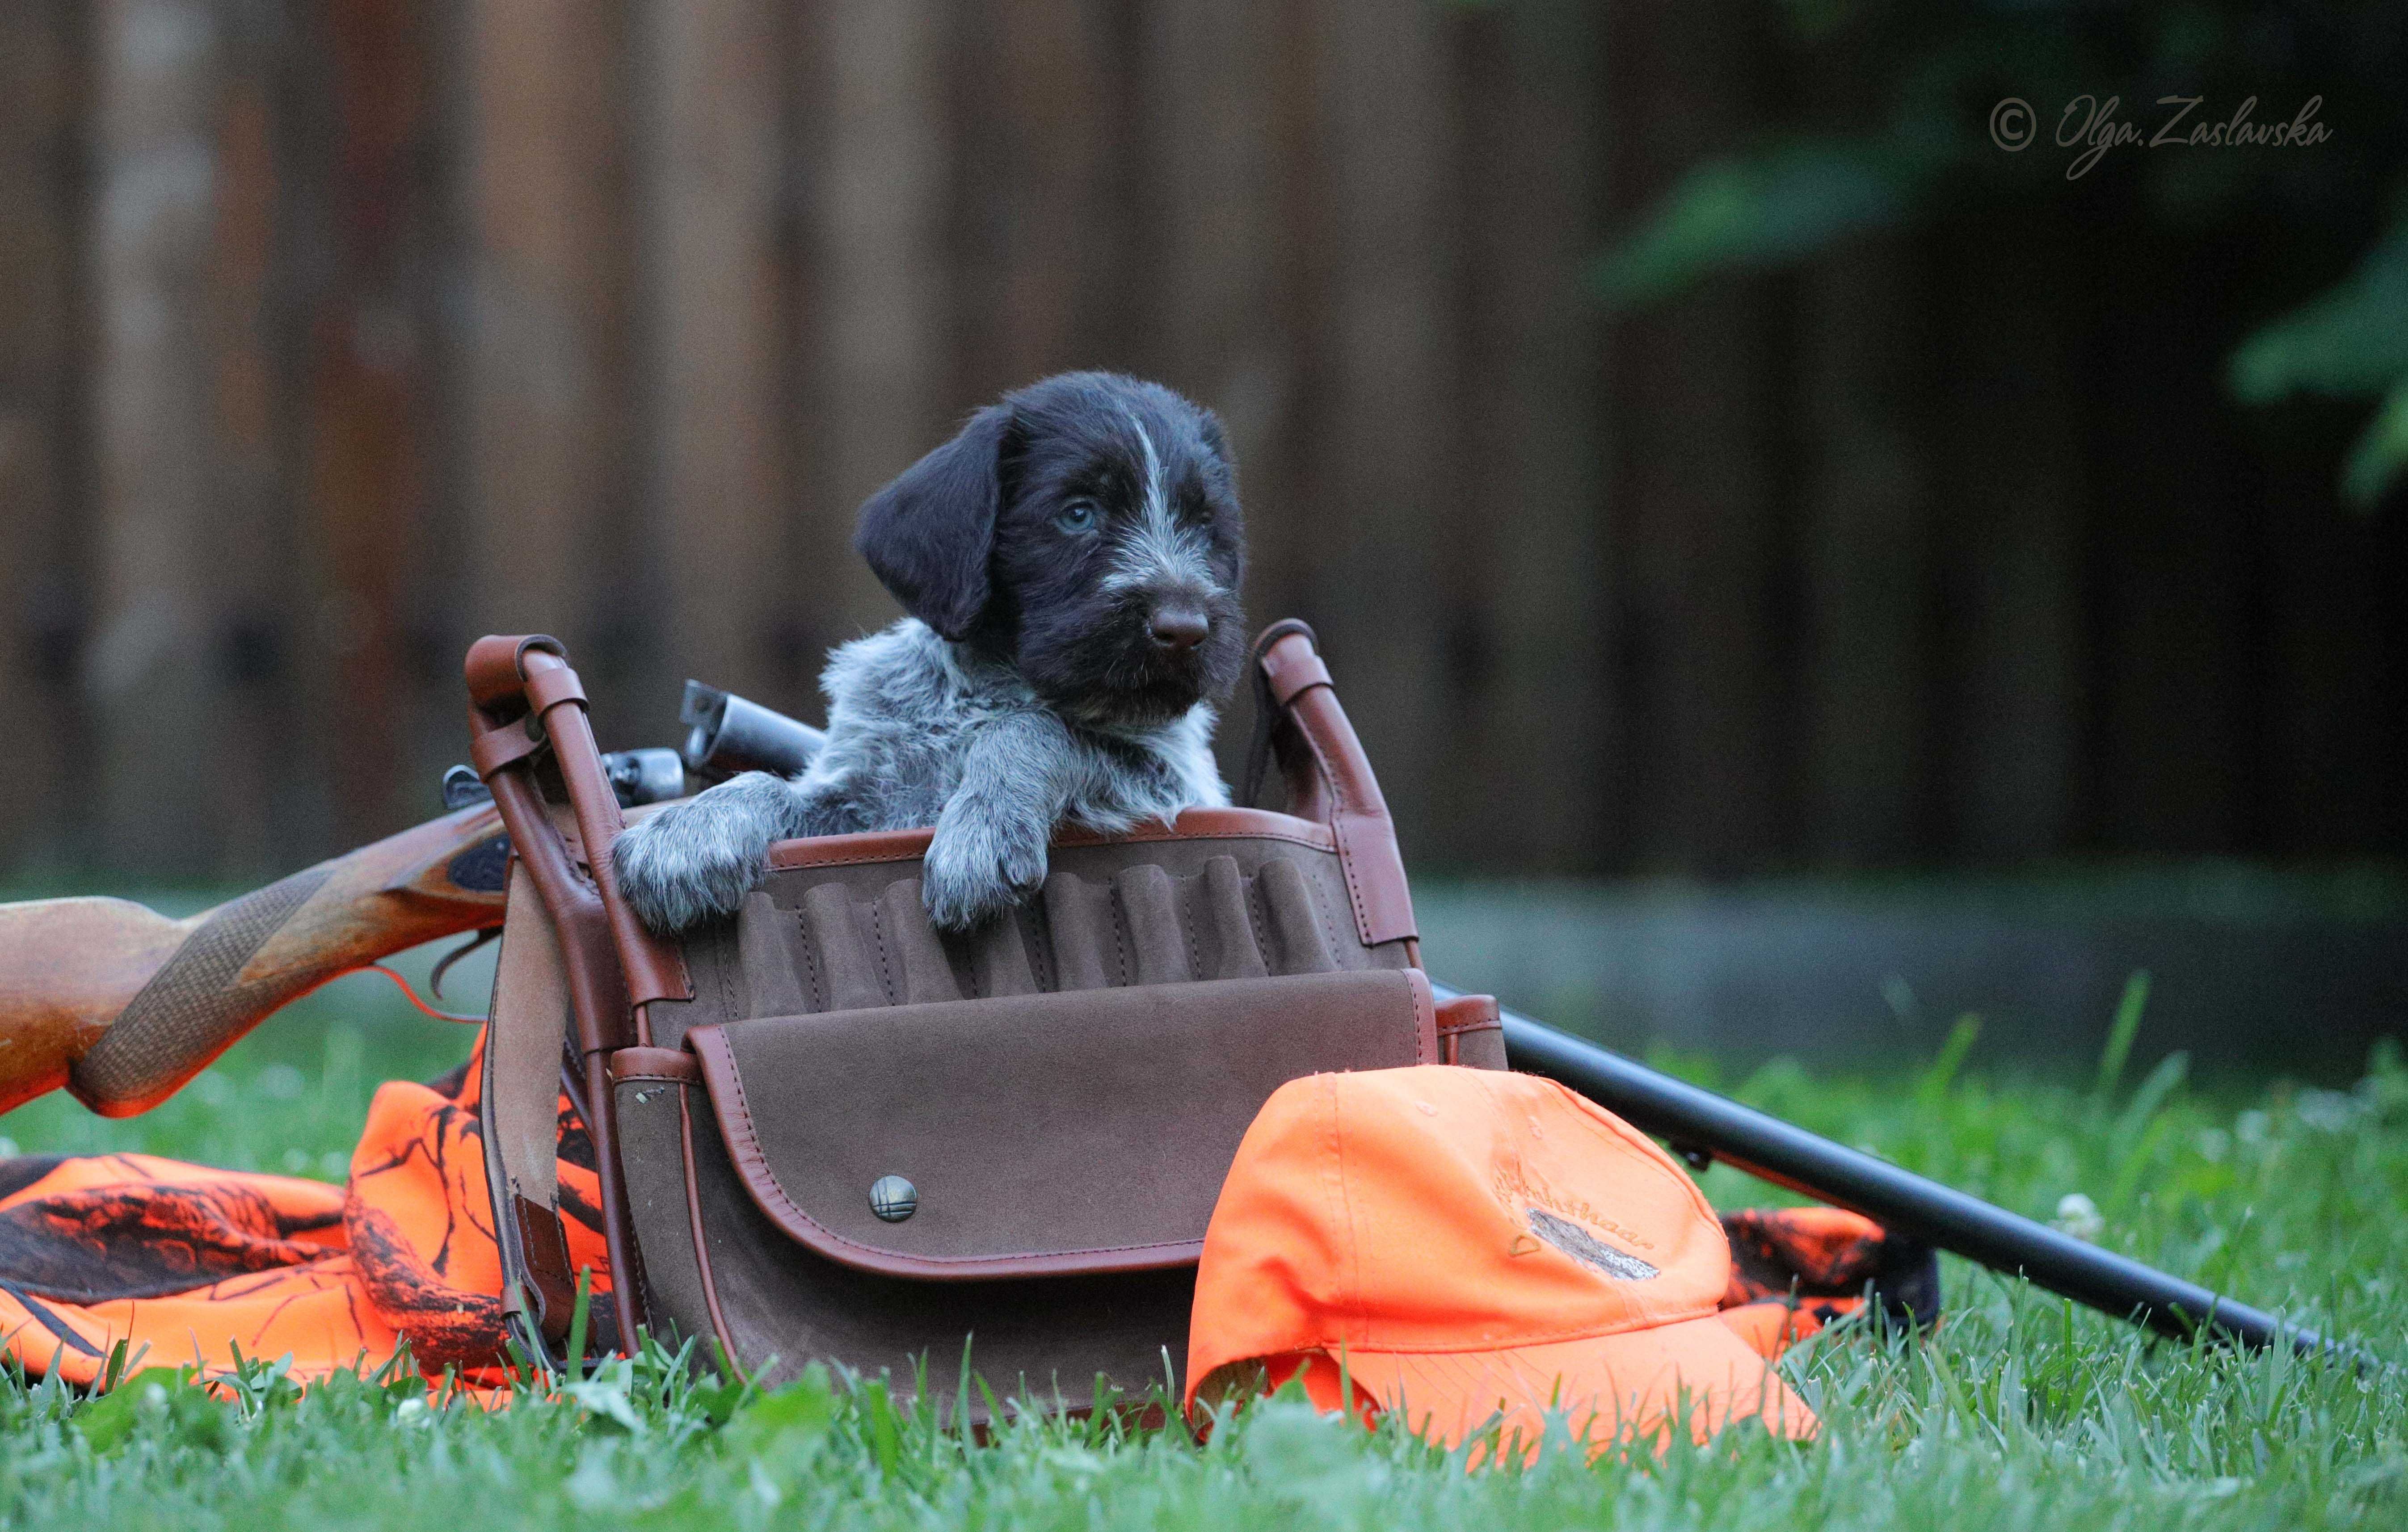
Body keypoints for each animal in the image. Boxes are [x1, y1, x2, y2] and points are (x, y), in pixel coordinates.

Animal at [611, 371, 1252, 934]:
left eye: (1205, 525)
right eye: (1078, 514)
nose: (1186, 628)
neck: (999, 681)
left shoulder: (1175, 781)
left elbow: (1034, 729)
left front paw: (981, 832)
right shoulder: (872, 801)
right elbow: (773, 786)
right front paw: (692, 830)